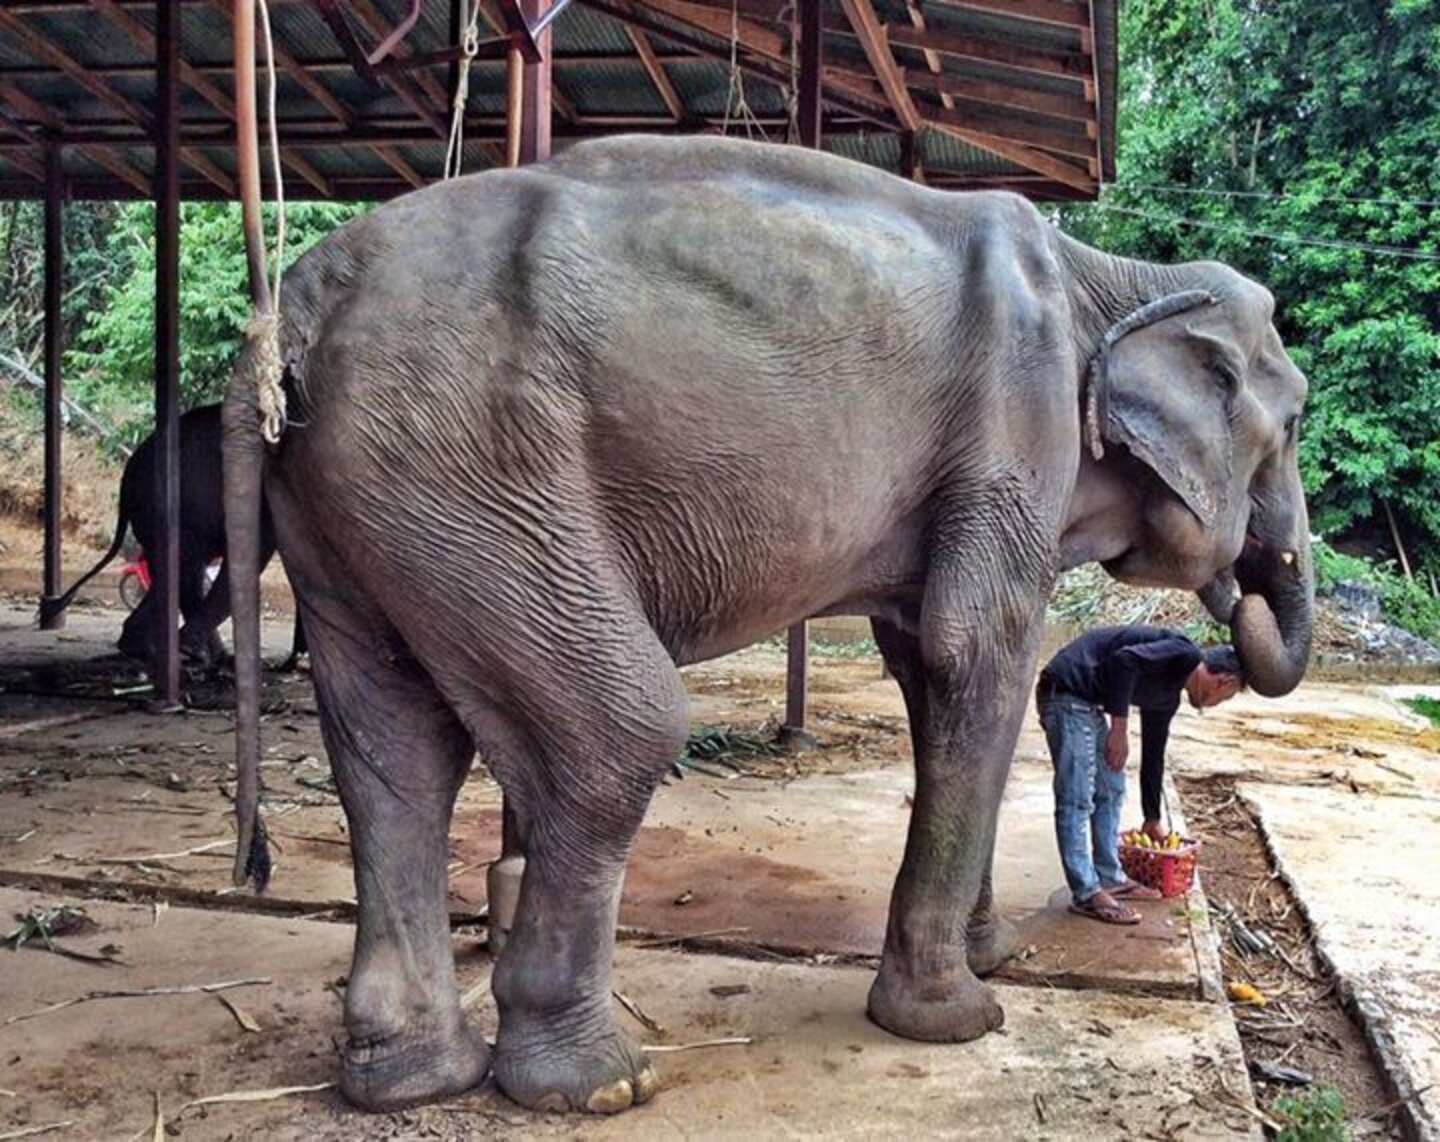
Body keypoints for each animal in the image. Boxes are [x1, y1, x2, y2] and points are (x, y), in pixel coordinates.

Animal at [222, 135, 1312, 1116]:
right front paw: (960, 1017)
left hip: (373, 493)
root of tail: (291, 311)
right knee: (619, 729)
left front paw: (990, 955)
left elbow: (926, 666)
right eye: (1296, 419)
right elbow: (977, 652)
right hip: (470, 467)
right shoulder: (1017, 422)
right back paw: (598, 1084)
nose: (1248, 594)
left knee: (396, 745)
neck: (1110, 274)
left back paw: (408, 1077)